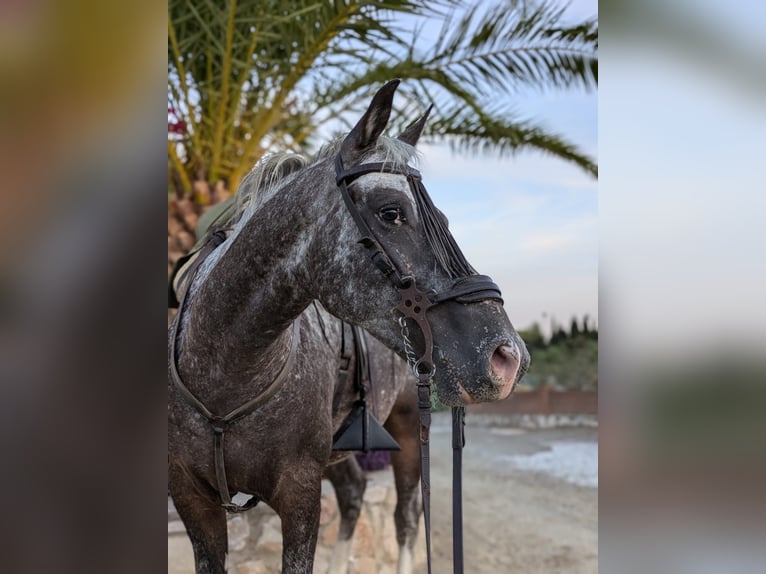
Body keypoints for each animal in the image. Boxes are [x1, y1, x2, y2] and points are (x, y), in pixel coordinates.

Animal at [167, 79, 528, 572]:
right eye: (391, 212)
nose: (508, 356)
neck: (227, 375)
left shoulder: (300, 495)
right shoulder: (193, 503)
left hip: (407, 437)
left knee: (405, 518)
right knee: (356, 495)